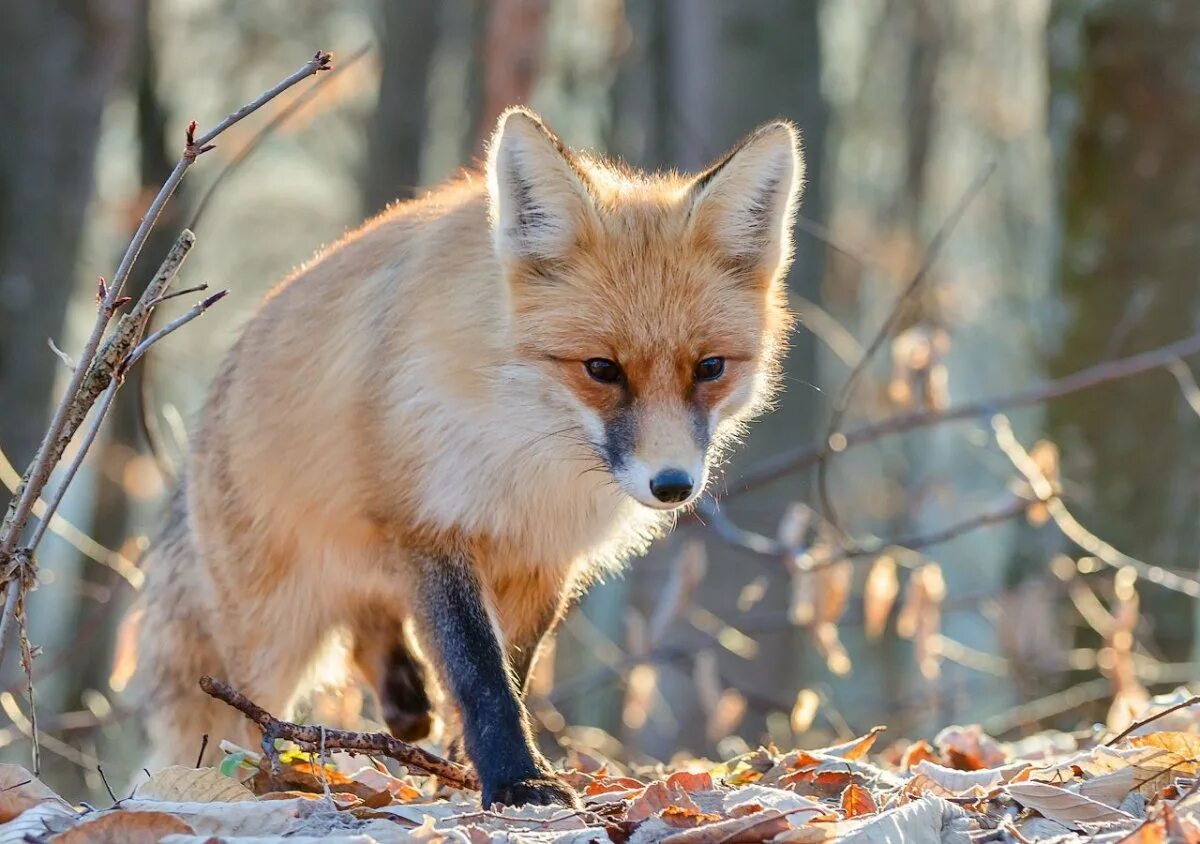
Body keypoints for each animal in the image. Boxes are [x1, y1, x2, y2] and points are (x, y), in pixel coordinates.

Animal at [131, 109, 801, 806]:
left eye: (710, 368)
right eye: (601, 369)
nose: (672, 485)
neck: (523, 446)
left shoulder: (541, 556)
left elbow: (515, 666)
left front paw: (466, 765)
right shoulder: (430, 527)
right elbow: (479, 670)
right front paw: (518, 778)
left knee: (371, 626)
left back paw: (404, 702)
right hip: (272, 627)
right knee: (250, 711)